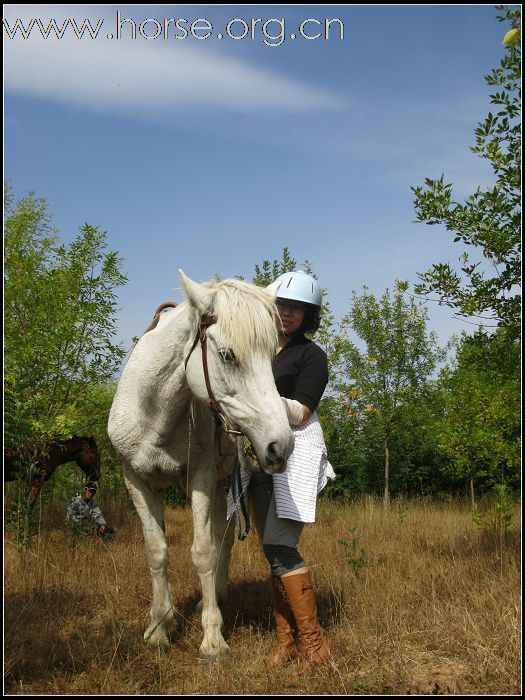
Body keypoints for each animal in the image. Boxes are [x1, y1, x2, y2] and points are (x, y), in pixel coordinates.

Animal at [108, 270, 292, 660]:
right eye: (227, 355)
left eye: (270, 355)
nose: (280, 446)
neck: (153, 412)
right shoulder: (136, 480)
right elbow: (157, 551)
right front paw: (159, 627)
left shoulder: (201, 479)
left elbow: (204, 552)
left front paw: (212, 638)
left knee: (222, 540)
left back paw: (216, 601)